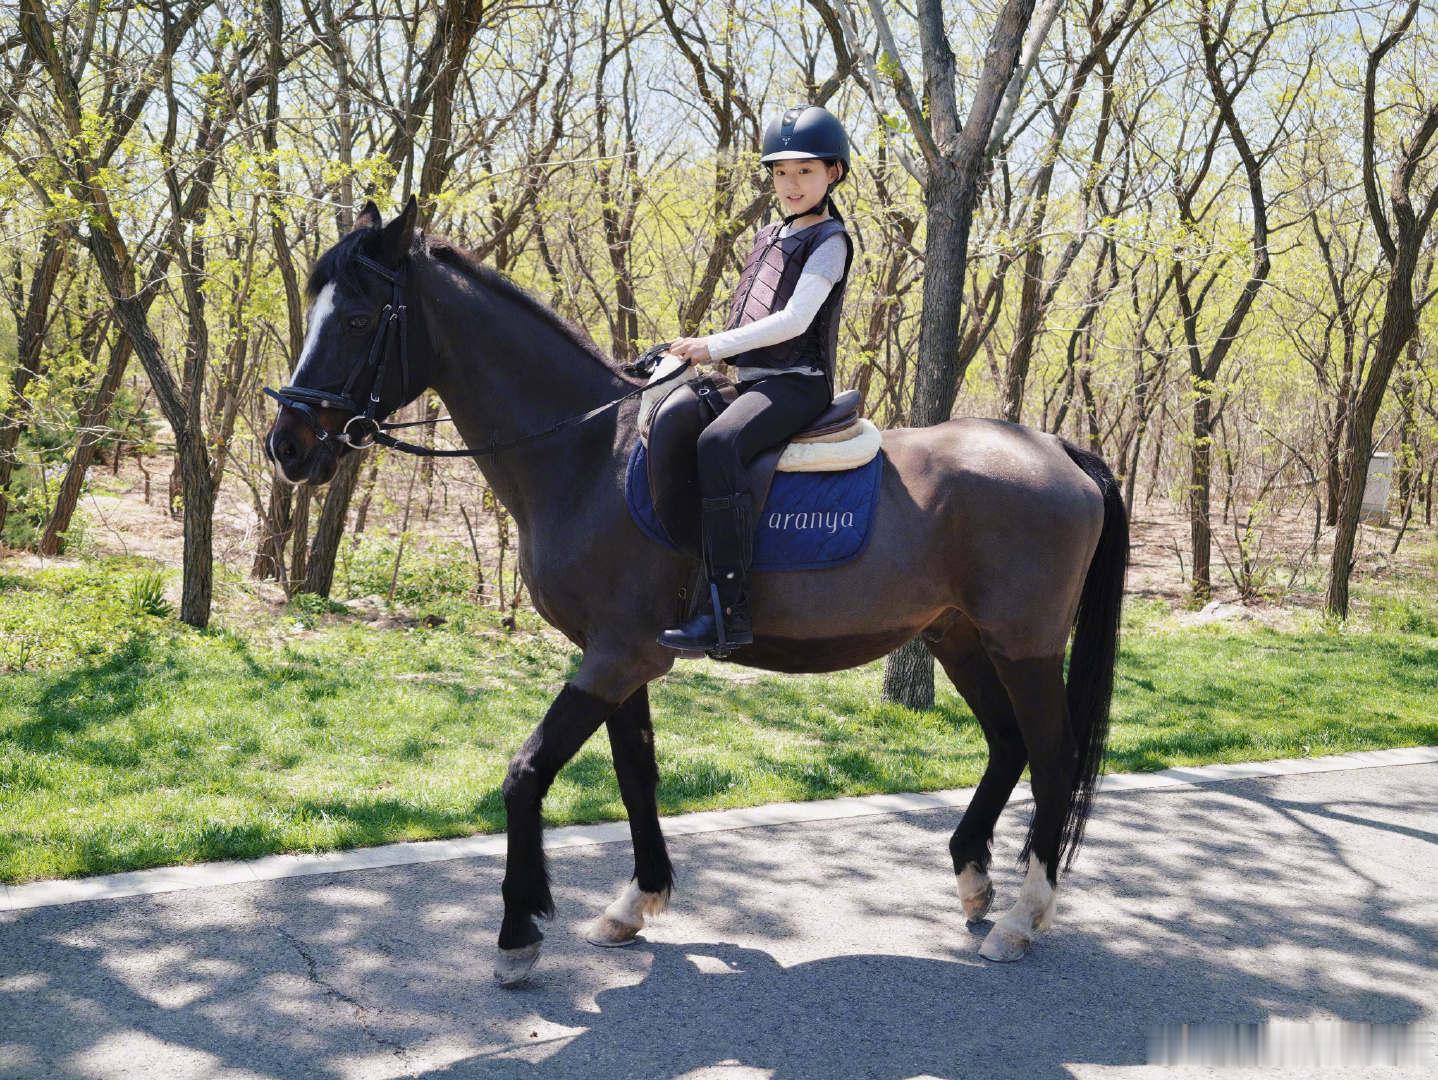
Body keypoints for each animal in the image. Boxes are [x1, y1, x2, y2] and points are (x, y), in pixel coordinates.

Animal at [265, 198, 1128, 986]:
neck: (589, 452)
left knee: (1050, 756)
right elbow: (635, 773)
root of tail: (1058, 450)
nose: (288, 446)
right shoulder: (622, 656)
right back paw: (976, 882)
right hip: (959, 636)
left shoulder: (618, 655)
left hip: (1023, 646)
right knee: (1009, 743)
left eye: (357, 320)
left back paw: (1021, 916)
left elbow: (527, 772)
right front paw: (634, 903)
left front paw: (518, 933)